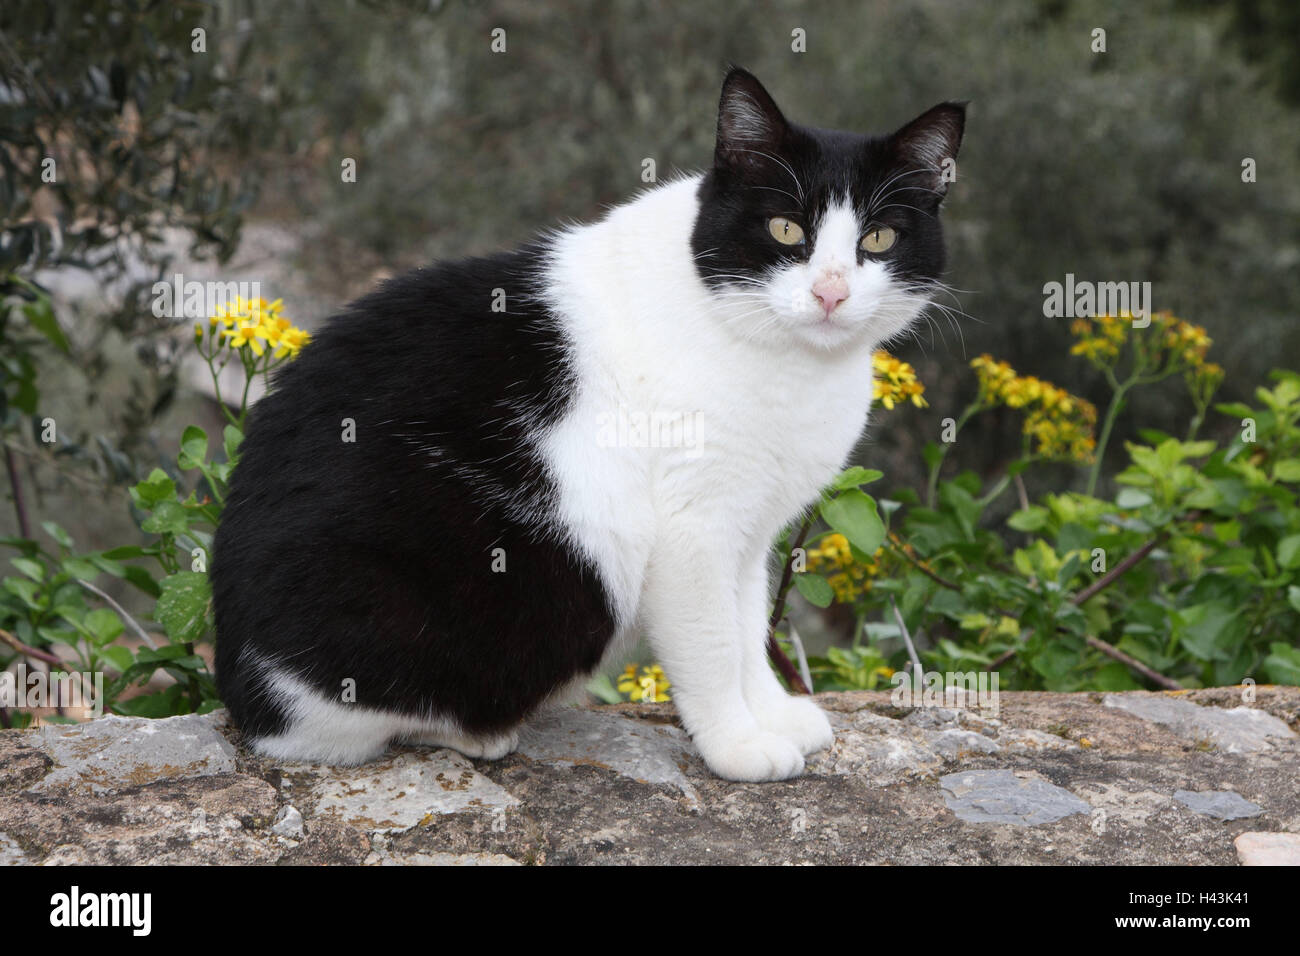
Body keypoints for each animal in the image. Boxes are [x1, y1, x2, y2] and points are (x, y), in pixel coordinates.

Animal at [213, 69, 961, 785]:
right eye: (785, 230)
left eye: (878, 238)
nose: (831, 292)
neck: (789, 362)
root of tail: (240, 685)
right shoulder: (694, 530)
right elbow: (716, 646)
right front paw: (738, 745)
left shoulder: (750, 533)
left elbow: (749, 627)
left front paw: (772, 714)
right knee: (345, 727)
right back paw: (474, 733)